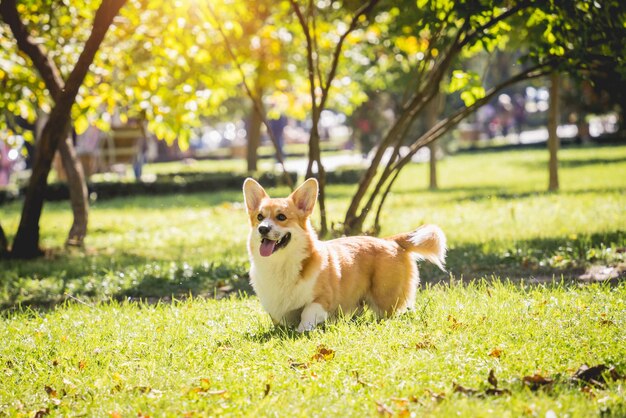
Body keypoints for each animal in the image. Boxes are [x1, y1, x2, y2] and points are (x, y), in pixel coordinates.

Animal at [241, 178, 446, 332]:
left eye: (281, 217)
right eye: (260, 217)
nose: (263, 229)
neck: (280, 265)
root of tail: (391, 240)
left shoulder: (322, 299)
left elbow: (307, 312)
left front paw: (302, 330)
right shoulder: (276, 310)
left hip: (385, 298)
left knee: (395, 312)